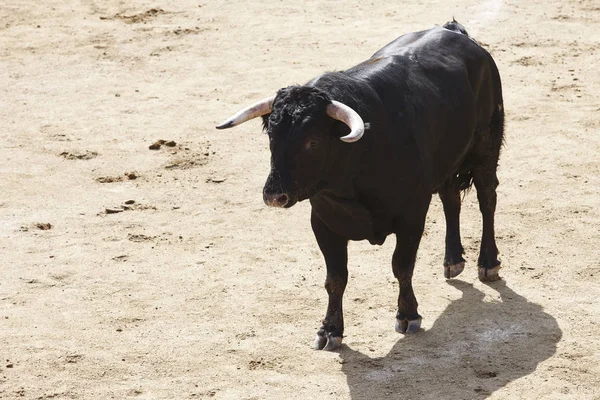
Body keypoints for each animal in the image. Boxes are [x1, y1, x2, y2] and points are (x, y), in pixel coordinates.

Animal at [218, 22, 504, 350]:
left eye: (312, 141)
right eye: (271, 136)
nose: (274, 195)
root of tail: (455, 32)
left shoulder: (412, 215)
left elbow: (402, 265)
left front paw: (408, 315)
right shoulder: (323, 223)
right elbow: (335, 278)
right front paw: (330, 330)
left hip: (486, 145)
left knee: (487, 198)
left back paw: (488, 263)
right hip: (448, 159)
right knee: (451, 198)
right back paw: (453, 260)